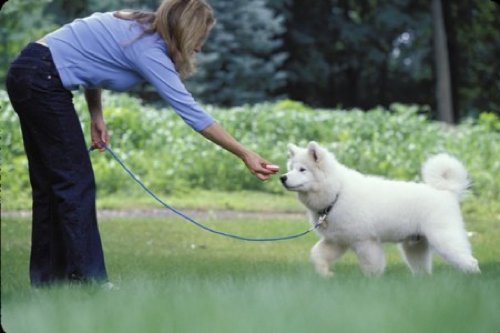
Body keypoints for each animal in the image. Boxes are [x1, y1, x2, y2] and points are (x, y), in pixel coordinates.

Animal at [282, 141, 480, 276]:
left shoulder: (366, 242)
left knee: (470, 261)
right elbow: (317, 255)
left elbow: (372, 268)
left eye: (302, 170)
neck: (337, 193)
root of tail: (447, 192)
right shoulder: (337, 241)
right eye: (290, 169)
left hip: (444, 239)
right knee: (423, 270)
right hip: (415, 247)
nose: (282, 178)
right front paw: (325, 274)